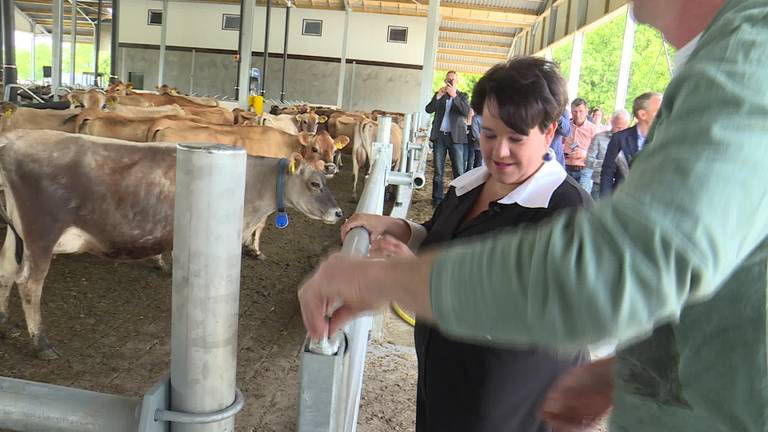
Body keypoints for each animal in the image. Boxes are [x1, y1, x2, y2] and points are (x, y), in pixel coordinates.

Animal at [0, 130, 342, 360]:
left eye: (326, 181)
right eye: (315, 183)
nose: (339, 213)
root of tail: (15, 140)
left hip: (17, 234)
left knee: (5, 271)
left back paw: (6, 324)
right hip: (41, 231)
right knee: (29, 283)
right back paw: (42, 344)